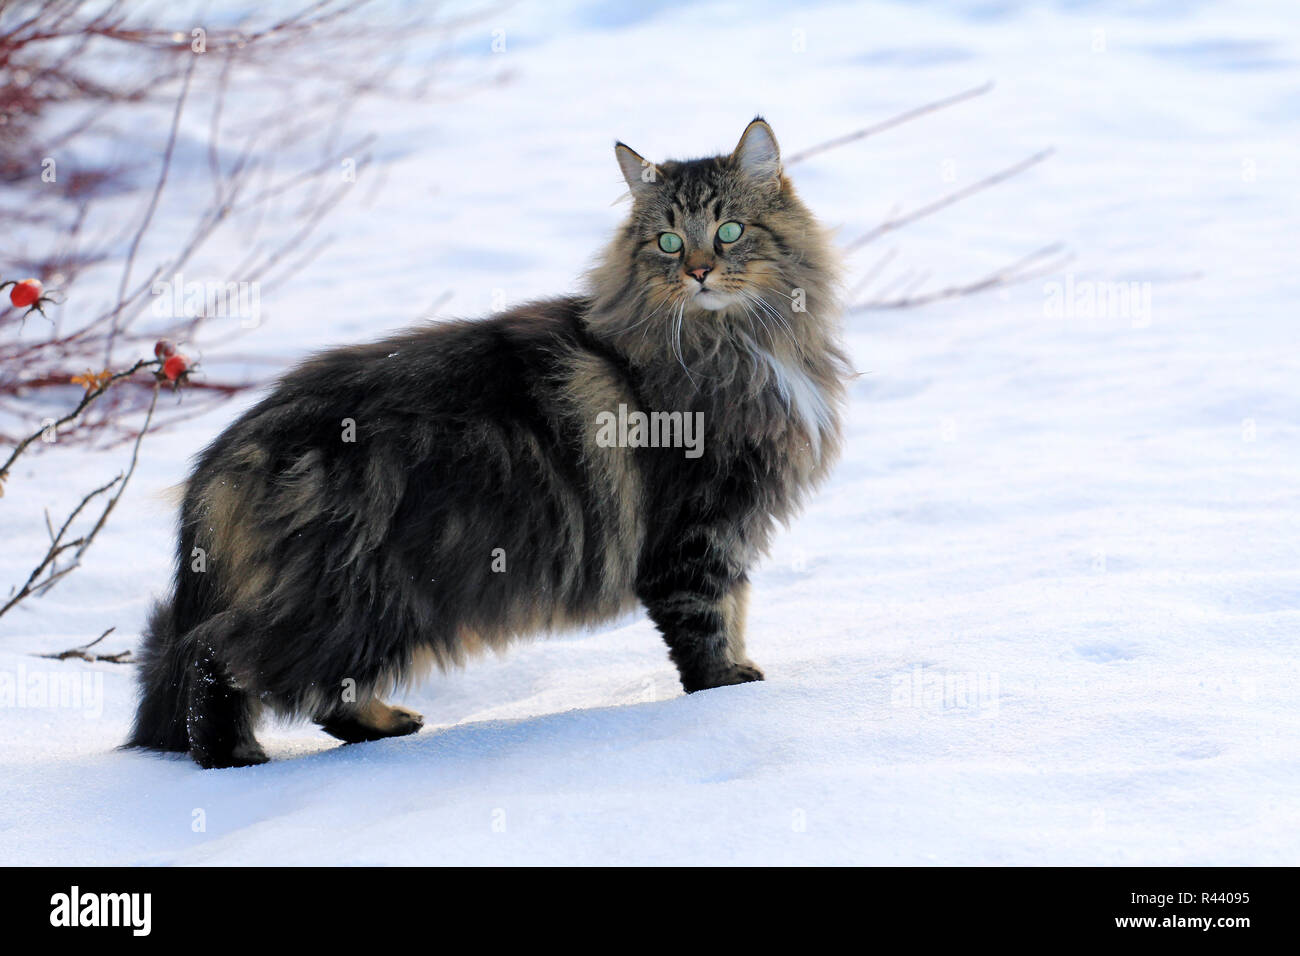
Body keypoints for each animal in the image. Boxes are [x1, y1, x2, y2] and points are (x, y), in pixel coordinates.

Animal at [126, 117, 847, 770]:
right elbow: (707, 624)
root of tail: (224, 456)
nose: (699, 271)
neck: (736, 346)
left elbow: (738, 609)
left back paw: (385, 724)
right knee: (225, 660)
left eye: (730, 231)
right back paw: (240, 758)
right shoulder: (698, 532)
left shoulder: (732, 528)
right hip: (353, 596)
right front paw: (727, 693)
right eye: (669, 241)